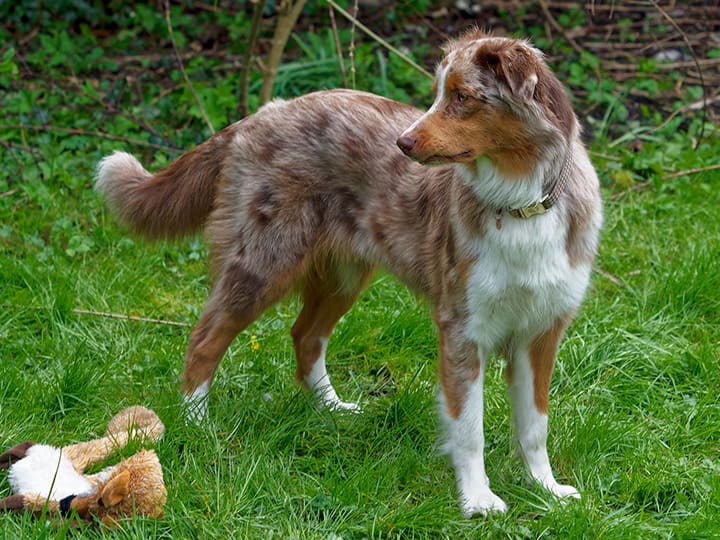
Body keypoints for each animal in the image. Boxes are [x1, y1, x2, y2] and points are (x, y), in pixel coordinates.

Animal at [95, 28, 600, 516]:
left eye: (462, 97)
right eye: (438, 94)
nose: (403, 143)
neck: (521, 204)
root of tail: (262, 114)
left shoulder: (541, 332)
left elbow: (535, 425)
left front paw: (545, 489)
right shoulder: (462, 329)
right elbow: (469, 428)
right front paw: (477, 500)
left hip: (343, 275)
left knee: (305, 334)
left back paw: (330, 407)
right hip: (262, 265)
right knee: (205, 338)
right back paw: (197, 422)